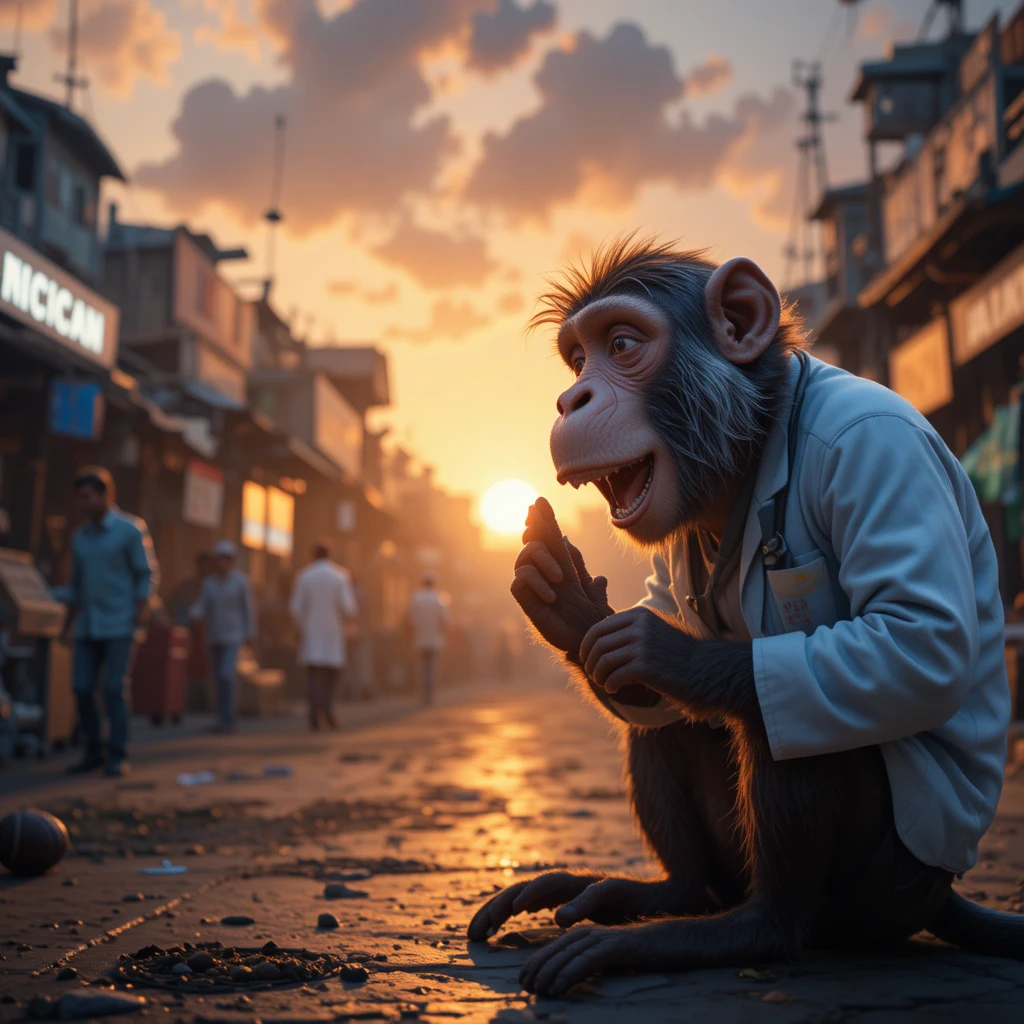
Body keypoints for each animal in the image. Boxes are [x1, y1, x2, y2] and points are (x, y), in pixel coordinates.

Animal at [466, 237, 1023, 997]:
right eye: (579, 361)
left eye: (621, 344)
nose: (572, 396)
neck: (748, 452)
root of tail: (941, 894)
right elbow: (643, 676)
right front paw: (570, 609)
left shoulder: (876, 447)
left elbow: (921, 638)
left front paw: (654, 646)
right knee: (675, 722)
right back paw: (662, 894)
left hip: (885, 884)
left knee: (783, 714)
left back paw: (747, 929)